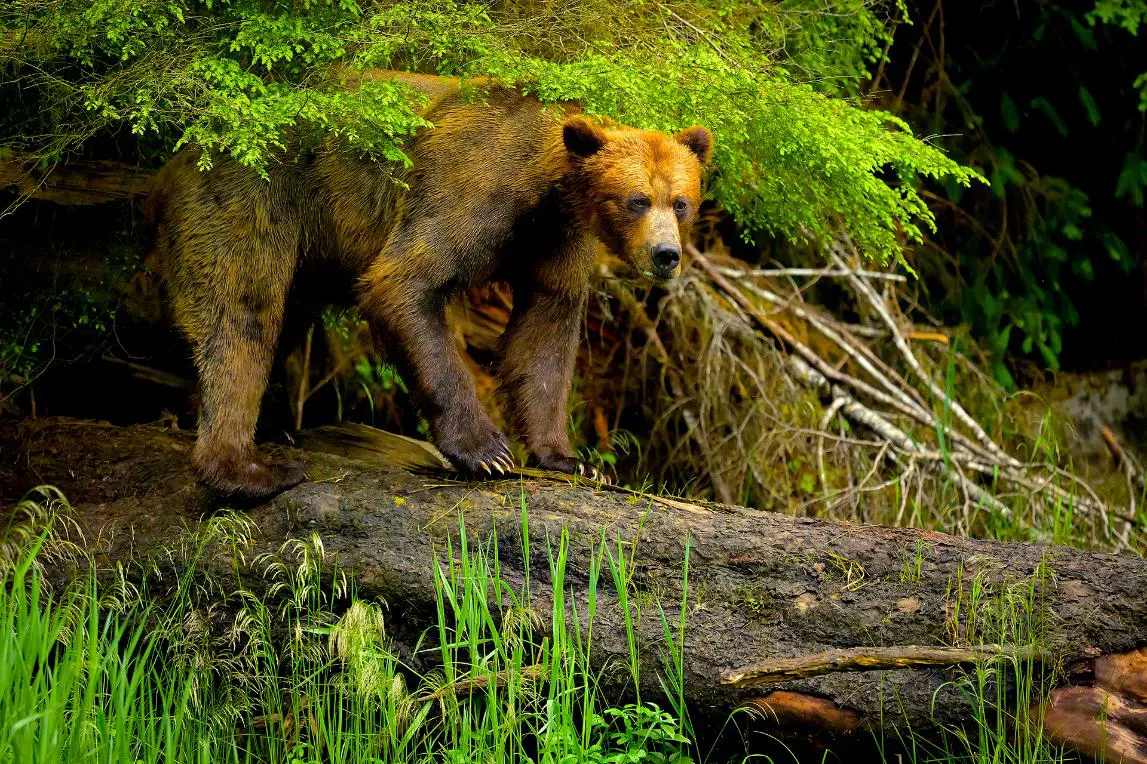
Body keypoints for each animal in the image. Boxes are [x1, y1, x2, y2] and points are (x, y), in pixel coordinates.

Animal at [146, 70, 712, 497]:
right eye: (637, 199)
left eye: (681, 202)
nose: (666, 255)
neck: (542, 190)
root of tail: (176, 157)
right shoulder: (469, 190)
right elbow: (403, 283)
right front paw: (487, 451)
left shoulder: (555, 242)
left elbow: (544, 336)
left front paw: (571, 458)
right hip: (248, 200)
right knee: (242, 317)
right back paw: (248, 468)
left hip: (308, 251)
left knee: (280, 320)